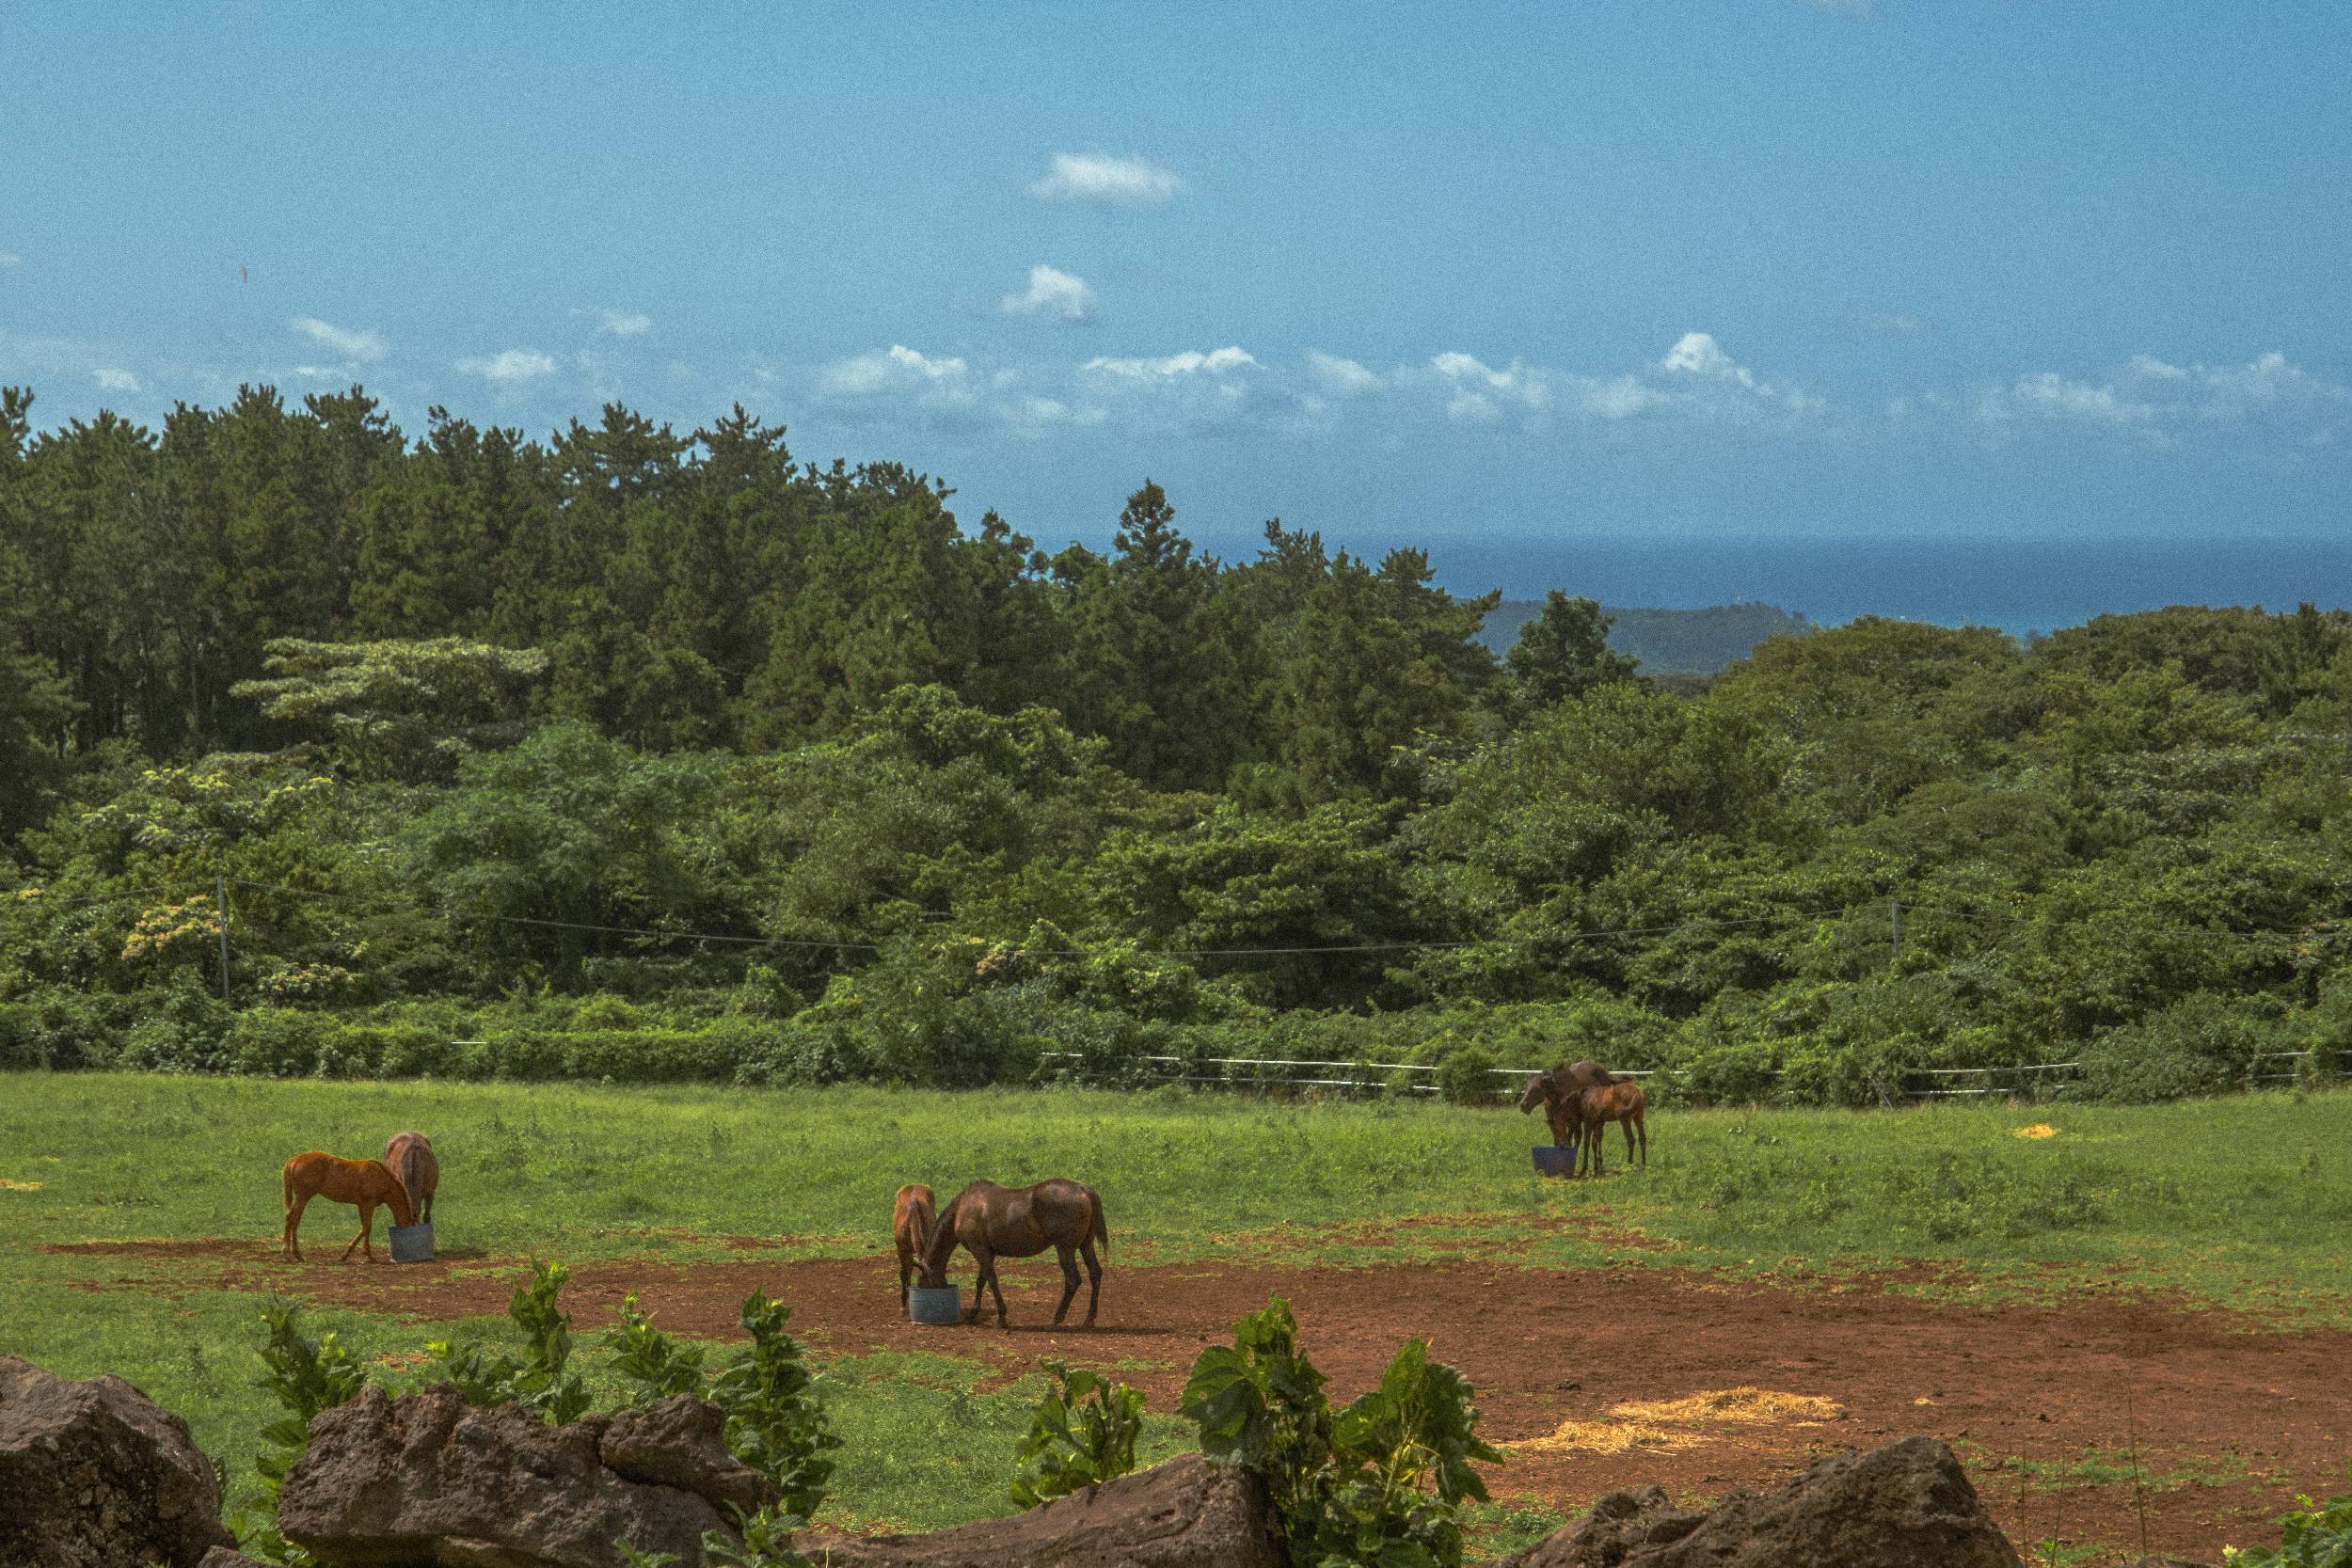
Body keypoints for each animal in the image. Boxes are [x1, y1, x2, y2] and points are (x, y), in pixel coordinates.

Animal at [280, 1151, 416, 1259]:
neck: (380, 1177)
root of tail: (293, 1161)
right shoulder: (369, 1204)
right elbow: (368, 1227)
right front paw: (369, 1255)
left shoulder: (361, 1205)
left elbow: (363, 1228)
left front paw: (346, 1254)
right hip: (303, 1197)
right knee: (293, 1220)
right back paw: (293, 1253)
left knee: (289, 1218)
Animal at [913, 1184, 1105, 1335]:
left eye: (923, 1282)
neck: (963, 1207)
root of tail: (1083, 1189)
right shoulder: (987, 1253)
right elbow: (981, 1281)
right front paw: (973, 1314)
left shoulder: (979, 1251)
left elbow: (992, 1281)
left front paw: (1002, 1318)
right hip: (1086, 1245)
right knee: (1095, 1274)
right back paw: (1089, 1319)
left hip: (1065, 1249)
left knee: (1073, 1280)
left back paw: (1056, 1319)